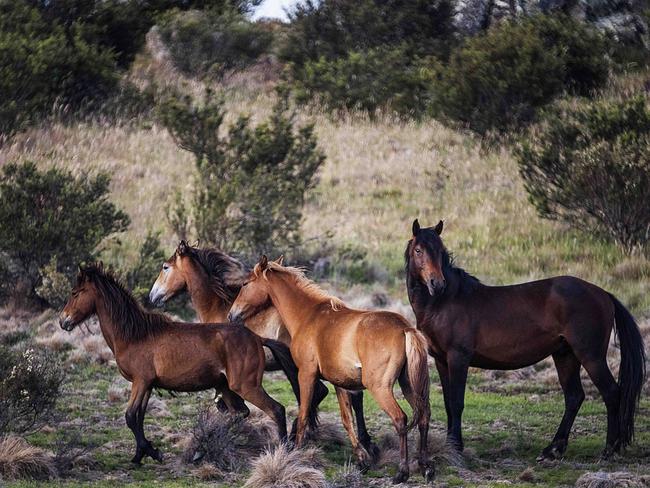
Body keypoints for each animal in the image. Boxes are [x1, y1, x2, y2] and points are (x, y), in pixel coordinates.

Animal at [59, 264, 288, 466]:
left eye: (75, 293)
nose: (63, 321)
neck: (135, 335)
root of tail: (257, 338)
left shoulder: (140, 382)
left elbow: (130, 417)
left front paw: (152, 453)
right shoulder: (147, 385)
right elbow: (139, 417)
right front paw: (140, 455)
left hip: (245, 386)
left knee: (276, 409)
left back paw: (286, 450)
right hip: (226, 387)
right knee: (240, 414)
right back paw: (201, 451)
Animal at [147, 240, 372, 454]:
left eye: (165, 267)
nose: (152, 296)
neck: (218, 306)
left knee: (322, 394)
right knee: (351, 395)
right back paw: (365, 443)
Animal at [225, 255, 432, 484]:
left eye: (245, 284)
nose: (231, 315)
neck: (309, 316)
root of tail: (406, 328)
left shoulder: (306, 374)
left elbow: (304, 415)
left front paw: (296, 454)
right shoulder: (340, 384)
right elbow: (347, 419)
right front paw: (362, 460)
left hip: (380, 387)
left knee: (400, 419)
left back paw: (402, 473)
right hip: (408, 385)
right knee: (424, 416)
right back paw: (426, 468)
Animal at [404, 219, 644, 460]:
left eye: (440, 251)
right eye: (419, 250)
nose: (437, 284)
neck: (445, 302)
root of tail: (604, 294)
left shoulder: (458, 358)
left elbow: (456, 403)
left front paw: (456, 446)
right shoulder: (442, 361)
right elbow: (447, 403)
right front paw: (451, 444)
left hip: (591, 357)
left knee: (611, 393)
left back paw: (608, 449)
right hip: (565, 355)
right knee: (574, 397)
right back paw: (553, 449)